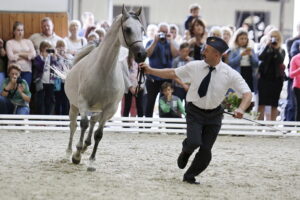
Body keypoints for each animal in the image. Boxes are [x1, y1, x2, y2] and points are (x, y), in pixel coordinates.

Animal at [64, 7, 146, 171]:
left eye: (142, 29)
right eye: (127, 29)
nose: (142, 54)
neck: (104, 71)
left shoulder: (109, 109)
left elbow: (98, 134)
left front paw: (91, 161)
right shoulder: (83, 103)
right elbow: (83, 124)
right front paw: (77, 155)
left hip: (98, 109)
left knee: (93, 121)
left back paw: (85, 146)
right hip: (74, 106)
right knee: (73, 125)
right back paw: (70, 151)